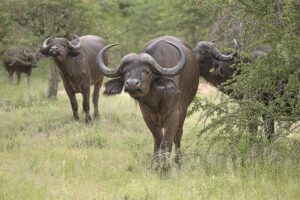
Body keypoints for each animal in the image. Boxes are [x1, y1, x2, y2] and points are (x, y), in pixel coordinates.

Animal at [96, 35, 199, 170]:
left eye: (146, 71)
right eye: (125, 71)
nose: (132, 83)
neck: (156, 99)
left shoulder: (174, 115)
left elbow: (166, 143)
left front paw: (165, 169)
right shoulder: (148, 117)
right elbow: (158, 141)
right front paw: (155, 166)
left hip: (184, 110)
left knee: (178, 136)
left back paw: (178, 163)